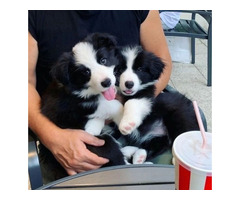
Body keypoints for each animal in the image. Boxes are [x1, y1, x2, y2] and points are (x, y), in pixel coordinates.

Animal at [39, 32, 125, 183]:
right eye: (86, 72)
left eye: (103, 60)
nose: (107, 82)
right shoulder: (67, 107)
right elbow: (107, 104)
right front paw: (125, 118)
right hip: (102, 145)